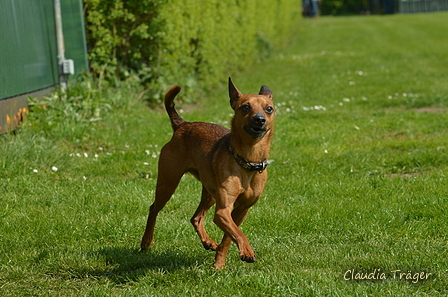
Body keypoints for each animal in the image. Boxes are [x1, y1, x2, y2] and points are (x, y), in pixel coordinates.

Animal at [140, 77, 274, 268]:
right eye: (245, 107)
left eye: (269, 108)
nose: (260, 119)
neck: (248, 160)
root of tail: (183, 125)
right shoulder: (222, 212)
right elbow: (239, 234)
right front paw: (246, 252)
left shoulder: (241, 210)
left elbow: (229, 237)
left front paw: (219, 263)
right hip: (168, 183)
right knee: (154, 209)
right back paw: (146, 242)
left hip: (210, 193)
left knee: (196, 217)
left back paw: (208, 242)